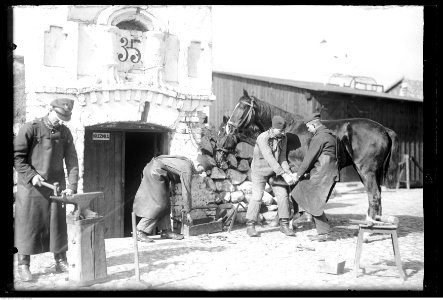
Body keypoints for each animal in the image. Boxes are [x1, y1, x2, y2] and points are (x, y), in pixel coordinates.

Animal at [222, 89, 402, 220]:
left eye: (243, 107)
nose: (229, 127)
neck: (289, 130)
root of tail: (384, 129)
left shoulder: (294, 167)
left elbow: (291, 192)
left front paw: (295, 217)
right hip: (374, 173)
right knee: (377, 197)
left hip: (366, 171)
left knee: (374, 196)